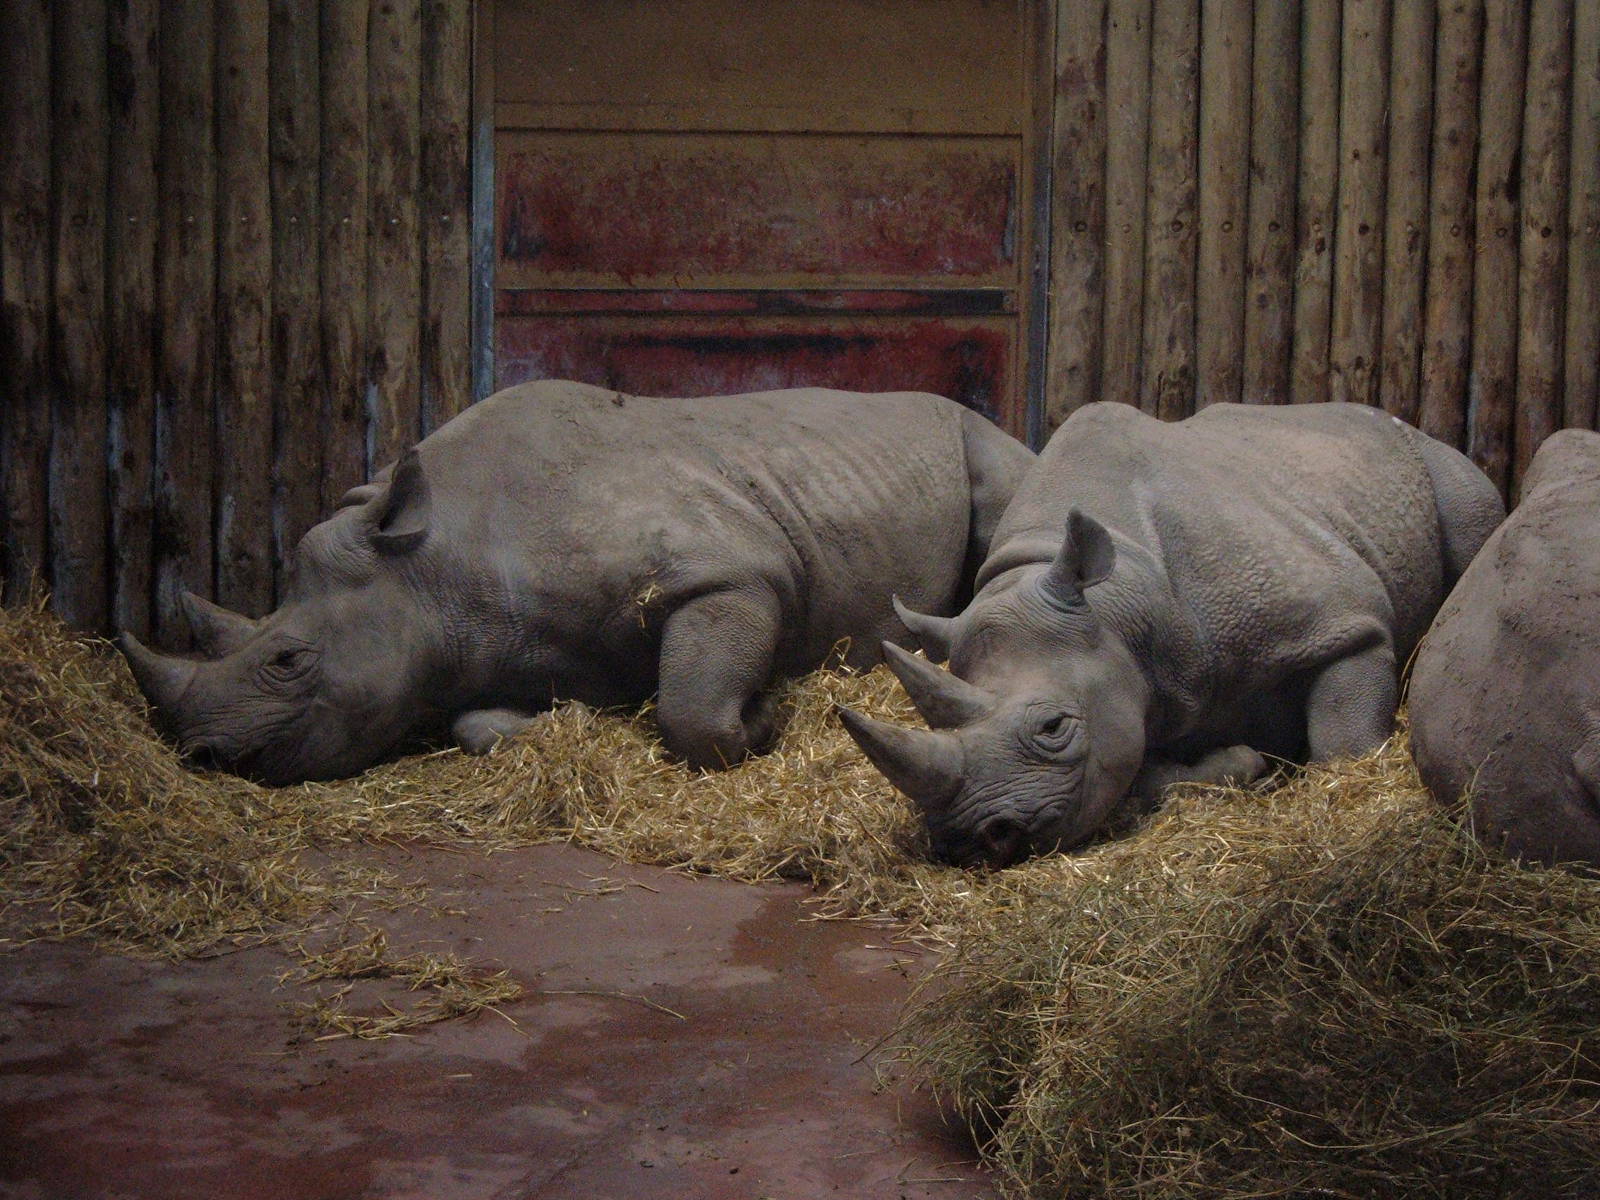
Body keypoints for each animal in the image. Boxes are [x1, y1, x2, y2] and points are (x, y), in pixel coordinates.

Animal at [120, 380, 1034, 784]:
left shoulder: (734, 573)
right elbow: (477, 726)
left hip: (981, 440)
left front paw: (768, 717)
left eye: (287, 661)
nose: (202, 753)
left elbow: (694, 709)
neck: (433, 565)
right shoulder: (501, 642)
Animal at [838, 401, 1505, 869]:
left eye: (1053, 728)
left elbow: (1344, 741)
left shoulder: (1343, 622)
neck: (1121, 608)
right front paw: (1245, 763)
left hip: (1436, 465)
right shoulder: (1141, 698)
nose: (970, 840)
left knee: (1473, 521)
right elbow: (1142, 775)